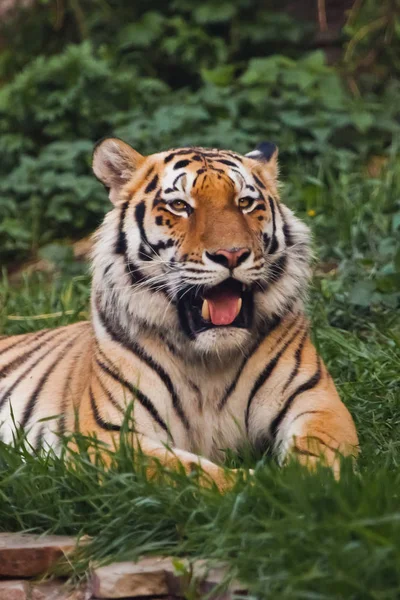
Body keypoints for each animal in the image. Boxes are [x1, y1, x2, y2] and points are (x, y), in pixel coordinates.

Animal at [0, 139, 358, 488]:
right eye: (180, 206)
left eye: (244, 202)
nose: (231, 255)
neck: (210, 361)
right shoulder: (109, 436)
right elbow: (196, 474)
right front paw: (265, 486)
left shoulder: (316, 401)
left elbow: (318, 455)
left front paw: (306, 484)